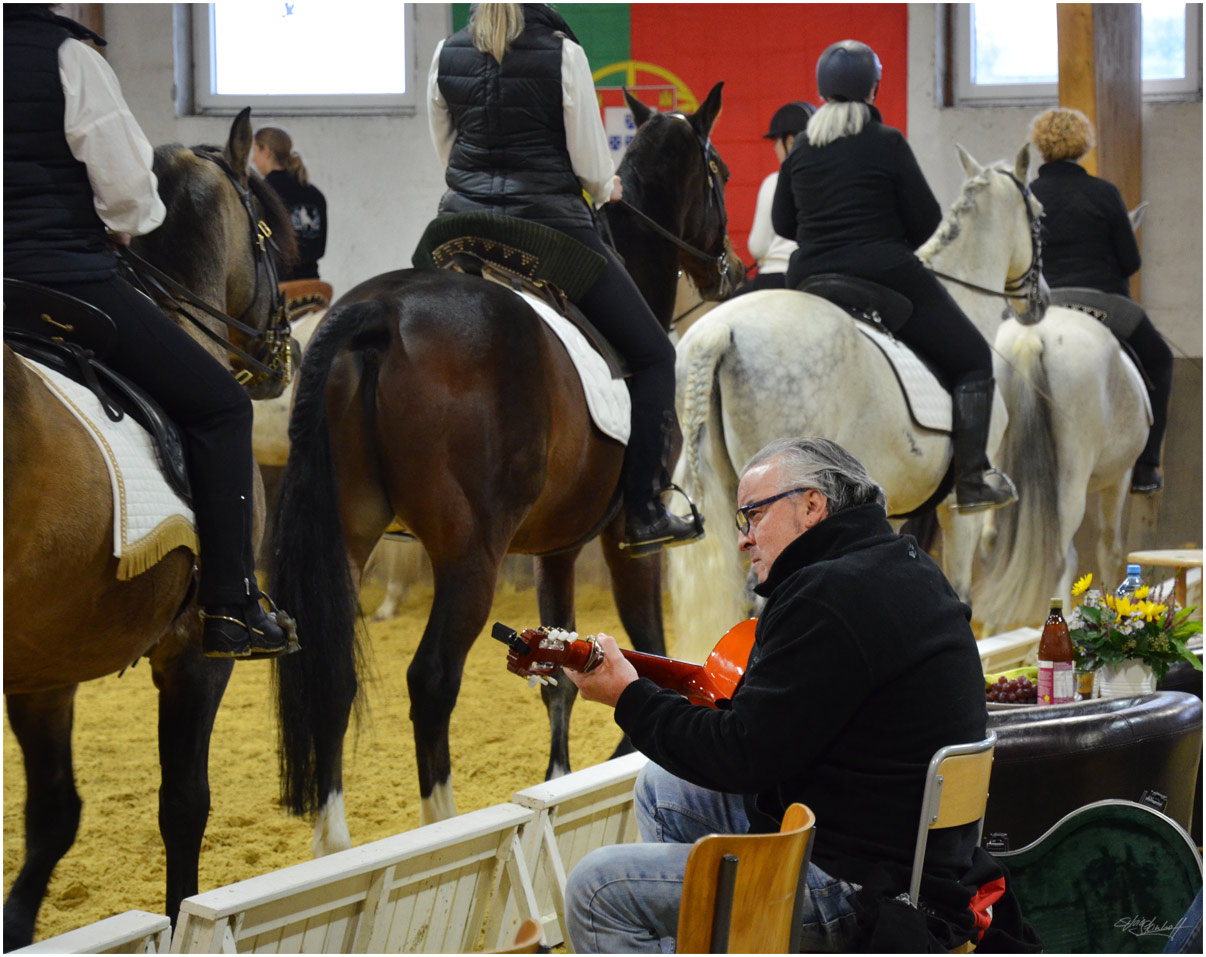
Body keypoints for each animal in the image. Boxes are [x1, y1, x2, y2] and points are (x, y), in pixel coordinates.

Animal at [3, 107, 295, 944]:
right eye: (271, 230)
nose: (282, 354)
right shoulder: (196, 648)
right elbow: (184, 805)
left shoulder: (44, 661)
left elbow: (53, 815)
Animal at [273, 78, 742, 848]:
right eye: (719, 173)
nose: (729, 271)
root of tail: (382, 310)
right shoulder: (625, 539)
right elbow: (647, 645)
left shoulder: (557, 545)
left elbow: (561, 667)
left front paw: (558, 779)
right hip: (472, 553)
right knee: (432, 679)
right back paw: (442, 830)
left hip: (349, 531)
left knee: (333, 671)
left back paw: (333, 845)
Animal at [665, 145, 1041, 660]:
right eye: (1039, 216)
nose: (1038, 303)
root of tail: (718, 330)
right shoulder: (959, 509)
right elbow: (961, 584)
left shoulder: (891, 507)